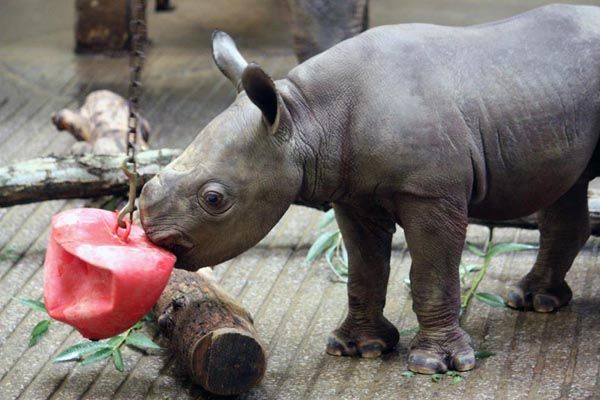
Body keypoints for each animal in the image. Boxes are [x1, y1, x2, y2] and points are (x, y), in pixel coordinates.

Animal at [139, 5, 600, 376]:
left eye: (214, 199)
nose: (151, 234)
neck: (306, 118)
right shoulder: (352, 192)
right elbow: (364, 269)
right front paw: (357, 348)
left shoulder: (431, 192)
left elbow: (432, 273)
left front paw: (434, 363)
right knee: (568, 188)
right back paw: (534, 300)